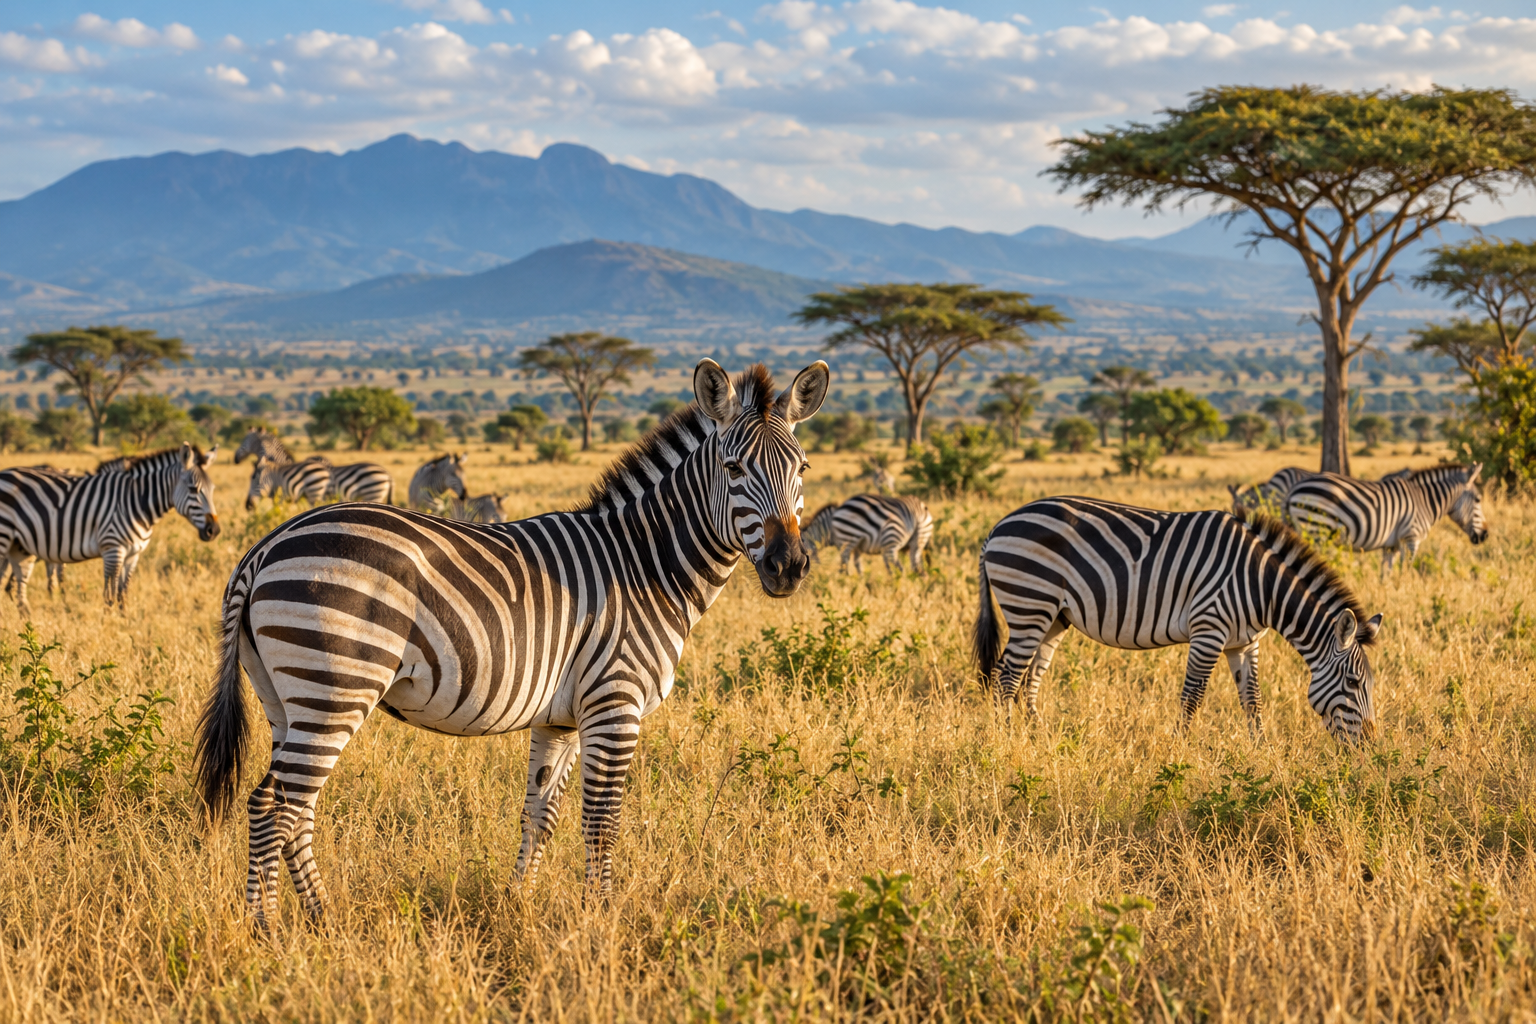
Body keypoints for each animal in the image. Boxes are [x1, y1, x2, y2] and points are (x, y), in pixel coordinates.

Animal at [0, 444, 220, 613]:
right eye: (193, 489)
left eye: (212, 490)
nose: (214, 531)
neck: (136, 502)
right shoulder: (113, 549)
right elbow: (109, 595)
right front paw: (108, 622)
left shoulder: (133, 555)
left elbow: (123, 593)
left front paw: (124, 622)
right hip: (5, 536)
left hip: (19, 545)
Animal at [194, 360, 828, 925]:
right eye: (734, 468)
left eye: (803, 469)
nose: (788, 567)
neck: (644, 563)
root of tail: (262, 548)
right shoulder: (615, 703)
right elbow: (602, 823)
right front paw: (602, 921)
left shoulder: (561, 718)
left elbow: (540, 813)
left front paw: (517, 903)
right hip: (334, 687)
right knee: (277, 807)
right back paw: (269, 930)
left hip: (286, 700)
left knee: (285, 808)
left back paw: (316, 919)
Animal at [803, 494, 933, 574]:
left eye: (802, 541)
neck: (829, 526)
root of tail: (917, 511)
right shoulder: (859, 548)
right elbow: (859, 566)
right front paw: (863, 584)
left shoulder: (844, 544)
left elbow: (846, 565)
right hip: (920, 538)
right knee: (918, 568)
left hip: (890, 540)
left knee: (900, 569)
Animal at [974, 497, 1382, 742]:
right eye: (1352, 682)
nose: (1369, 744)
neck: (1261, 585)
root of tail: (997, 526)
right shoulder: (1209, 629)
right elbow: (1192, 697)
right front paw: (1178, 751)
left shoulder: (1245, 642)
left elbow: (1252, 700)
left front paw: (1263, 750)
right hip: (1029, 602)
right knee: (1006, 677)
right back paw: (1008, 741)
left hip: (1054, 615)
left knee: (1031, 676)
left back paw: (1036, 736)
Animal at [1285, 463, 1487, 577]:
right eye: (1478, 499)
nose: (1485, 535)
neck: (1424, 501)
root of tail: (1293, 489)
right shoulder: (1411, 538)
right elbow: (1406, 570)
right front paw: (1405, 592)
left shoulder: (1392, 545)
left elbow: (1386, 574)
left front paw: (1389, 595)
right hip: (1317, 530)